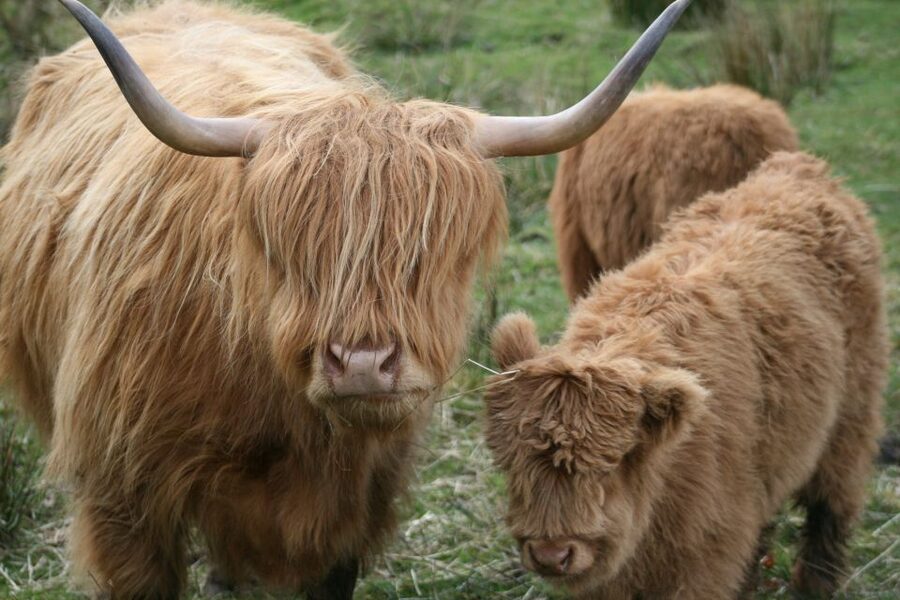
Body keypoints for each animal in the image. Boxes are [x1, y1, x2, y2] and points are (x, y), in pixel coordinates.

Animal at [485, 153, 887, 598]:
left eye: (609, 464)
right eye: (511, 464)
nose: (551, 555)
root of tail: (797, 166)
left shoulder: (706, 553)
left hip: (852, 414)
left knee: (832, 502)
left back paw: (814, 584)